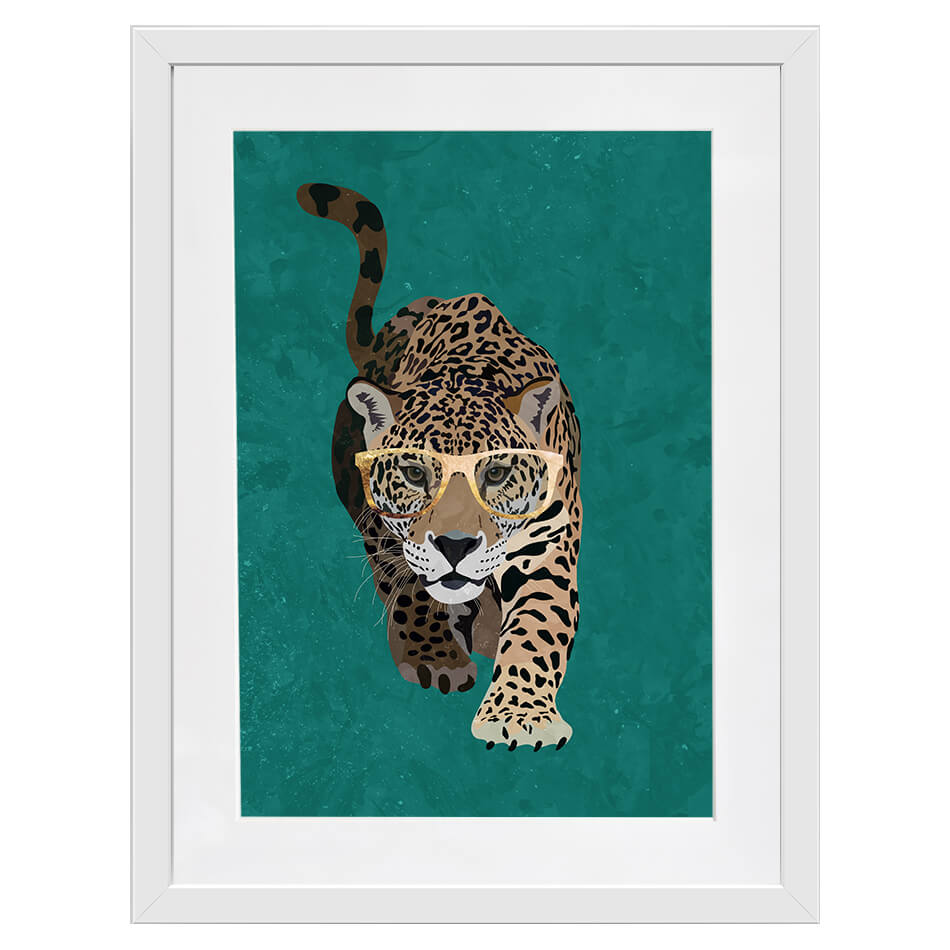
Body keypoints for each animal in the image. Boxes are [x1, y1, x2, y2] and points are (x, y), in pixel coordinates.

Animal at [297, 183, 582, 751]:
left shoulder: (548, 543)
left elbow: (538, 626)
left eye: (495, 473)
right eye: (413, 473)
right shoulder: (385, 528)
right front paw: (436, 657)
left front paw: (519, 716)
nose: (455, 546)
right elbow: (410, 587)